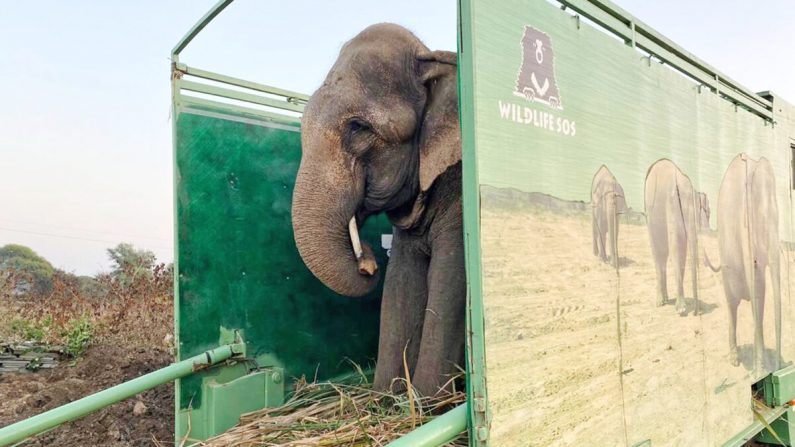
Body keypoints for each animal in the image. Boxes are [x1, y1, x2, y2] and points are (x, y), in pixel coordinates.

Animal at [292, 23, 466, 396]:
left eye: (359, 128)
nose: (369, 262)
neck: (431, 56)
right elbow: (401, 282)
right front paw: (387, 397)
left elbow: (449, 278)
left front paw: (427, 402)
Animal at [708, 154, 784, 372]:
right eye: (761, 224)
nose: (779, 369)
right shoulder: (744, 233)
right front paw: (760, 368)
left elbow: (760, 294)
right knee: (731, 306)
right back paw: (734, 359)